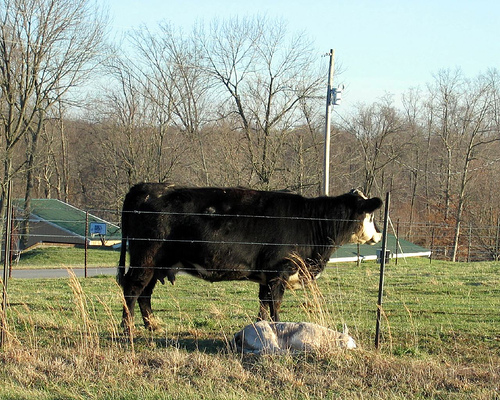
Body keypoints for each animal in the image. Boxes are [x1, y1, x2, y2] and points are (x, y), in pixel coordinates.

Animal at [117, 184, 382, 332]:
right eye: (370, 216)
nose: (379, 234)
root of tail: (143, 186)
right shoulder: (279, 272)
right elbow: (275, 305)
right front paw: (278, 329)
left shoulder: (267, 277)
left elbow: (263, 306)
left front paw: (261, 330)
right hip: (145, 258)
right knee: (132, 288)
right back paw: (127, 328)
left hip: (156, 263)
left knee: (145, 293)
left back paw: (153, 325)